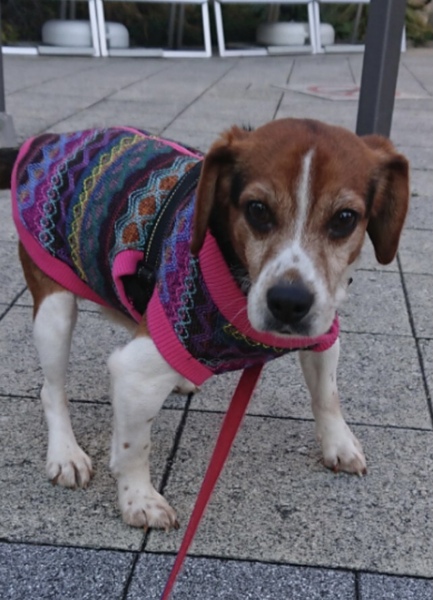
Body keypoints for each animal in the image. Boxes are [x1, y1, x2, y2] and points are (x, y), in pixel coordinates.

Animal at [1, 119, 409, 531]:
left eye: (345, 219)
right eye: (257, 210)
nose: (289, 302)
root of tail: (49, 138)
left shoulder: (323, 331)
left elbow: (327, 395)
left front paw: (338, 443)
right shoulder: (135, 374)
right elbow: (134, 448)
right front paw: (139, 499)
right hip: (54, 311)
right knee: (51, 390)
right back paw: (65, 453)